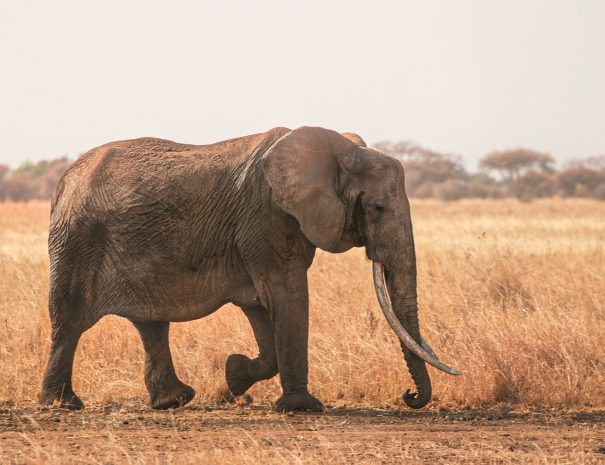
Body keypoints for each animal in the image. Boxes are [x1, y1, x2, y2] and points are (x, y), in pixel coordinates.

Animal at [39, 125, 458, 412]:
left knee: (151, 324)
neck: (339, 149)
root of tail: (64, 181)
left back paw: (173, 401)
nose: (408, 395)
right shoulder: (266, 218)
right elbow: (288, 296)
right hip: (76, 241)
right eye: (378, 208)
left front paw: (234, 374)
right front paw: (303, 408)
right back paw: (61, 404)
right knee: (69, 321)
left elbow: (261, 306)